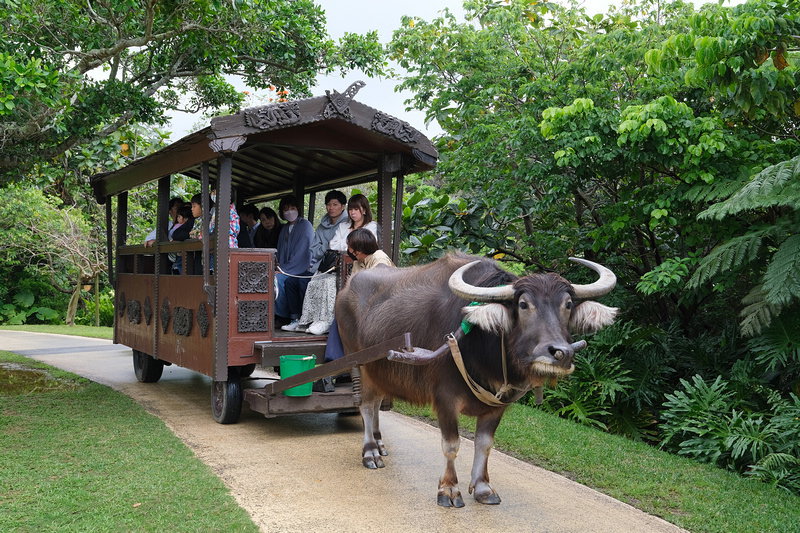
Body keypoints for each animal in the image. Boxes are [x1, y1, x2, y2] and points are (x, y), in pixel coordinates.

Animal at [334, 251, 616, 504]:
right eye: (523, 304)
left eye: (567, 305)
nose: (560, 353)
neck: (484, 347)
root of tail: (346, 290)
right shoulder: (445, 398)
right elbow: (452, 444)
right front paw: (449, 490)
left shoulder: (498, 405)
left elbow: (484, 444)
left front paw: (482, 488)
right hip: (360, 364)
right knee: (367, 405)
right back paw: (370, 452)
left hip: (381, 371)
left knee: (377, 403)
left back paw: (379, 442)